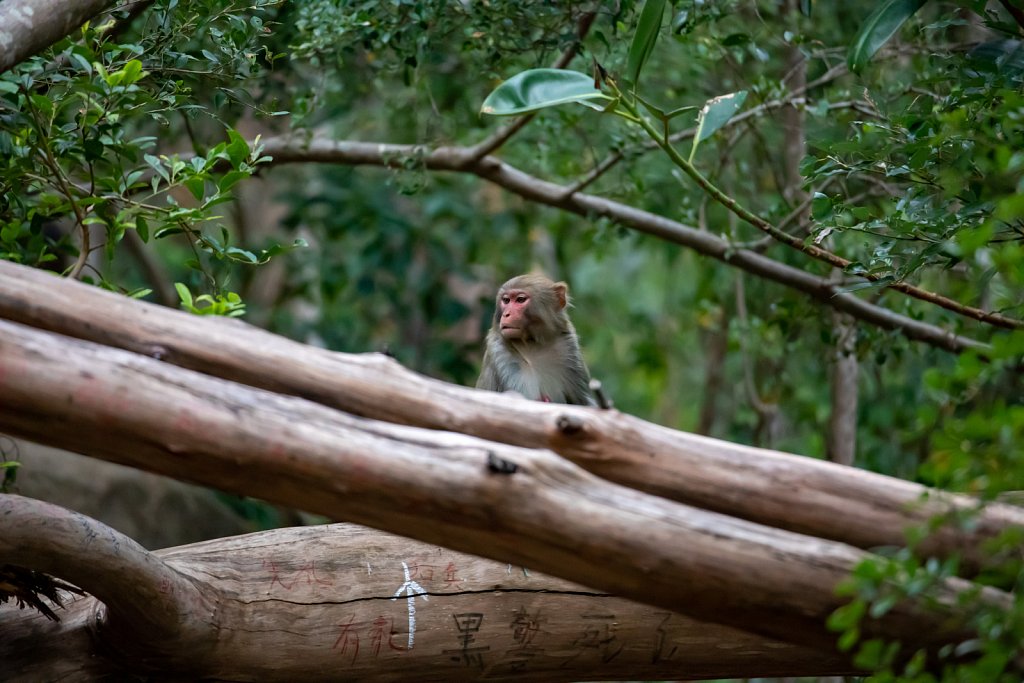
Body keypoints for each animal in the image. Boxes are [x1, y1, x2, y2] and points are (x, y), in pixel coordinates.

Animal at [475, 274, 598, 405]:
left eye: (520, 300)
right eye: (506, 300)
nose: (506, 314)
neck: (532, 343)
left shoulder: (569, 348)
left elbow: (583, 402)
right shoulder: (499, 353)